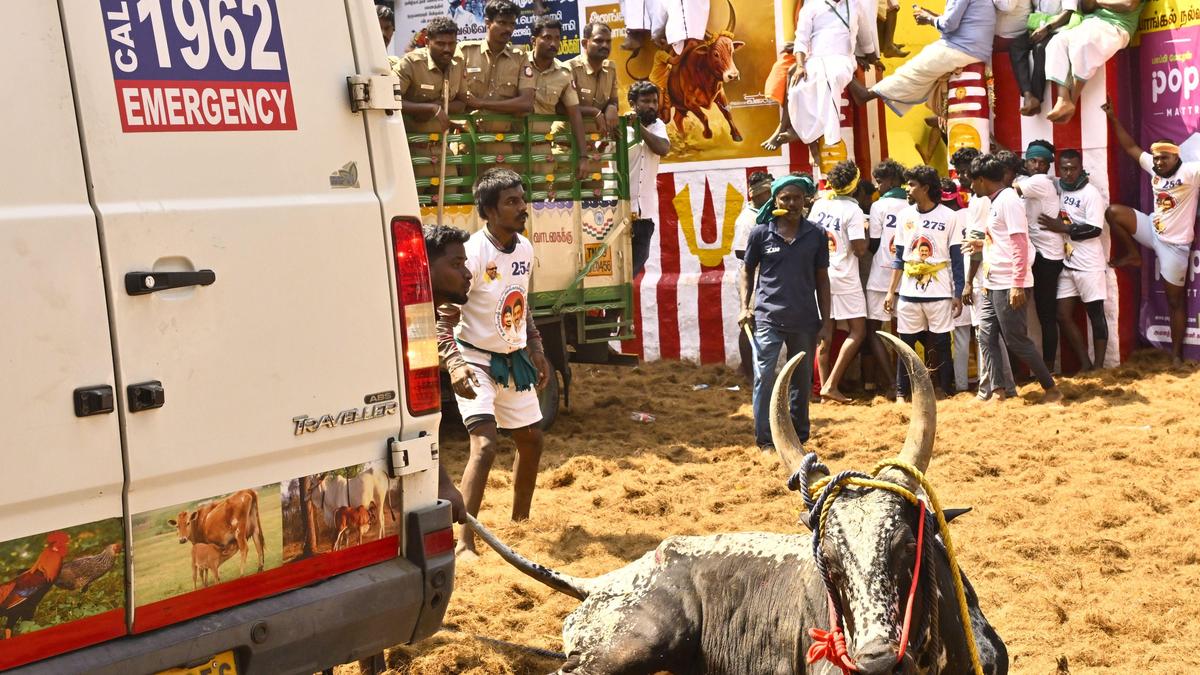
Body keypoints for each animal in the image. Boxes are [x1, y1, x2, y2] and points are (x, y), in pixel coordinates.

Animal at [654, 10, 744, 143]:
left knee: (677, 119)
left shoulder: (720, 94)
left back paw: (683, 138)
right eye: (715, 54)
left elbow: (727, 113)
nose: (733, 75)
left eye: (731, 51)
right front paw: (707, 133)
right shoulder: (689, 102)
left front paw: (736, 135)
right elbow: (704, 116)